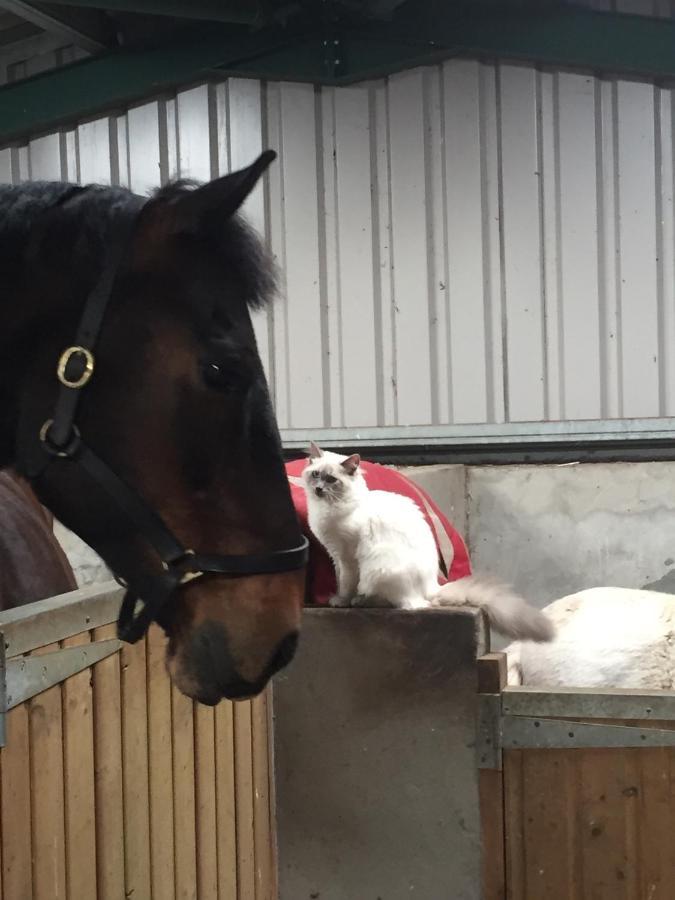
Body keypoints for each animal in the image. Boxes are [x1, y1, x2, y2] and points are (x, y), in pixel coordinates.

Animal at [302, 442, 556, 640]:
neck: (330, 510)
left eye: (331, 479)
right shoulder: (335, 555)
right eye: (316, 475)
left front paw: (340, 600)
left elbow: (345, 583)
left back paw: (360, 601)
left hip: (379, 567)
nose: (319, 489)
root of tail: (433, 585)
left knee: (402, 602)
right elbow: (340, 579)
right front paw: (339, 598)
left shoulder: (346, 556)